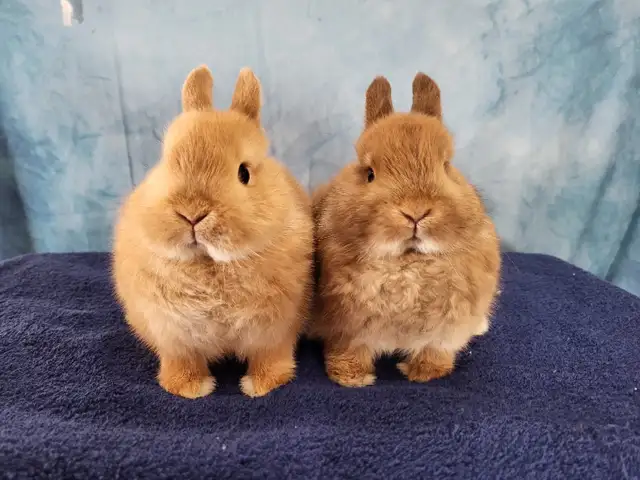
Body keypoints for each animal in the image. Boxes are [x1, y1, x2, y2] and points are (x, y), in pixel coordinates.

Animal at [112, 65, 313, 398]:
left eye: (244, 173)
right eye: (167, 163)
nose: (192, 213)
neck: (209, 263)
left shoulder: (275, 330)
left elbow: (270, 356)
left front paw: (262, 385)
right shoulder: (173, 335)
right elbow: (183, 361)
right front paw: (190, 388)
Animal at [309, 73, 501, 387]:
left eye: (446, 166)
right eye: (370, 173)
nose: (415, 211)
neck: (409, 262)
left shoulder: (446, 330)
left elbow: (435, 351)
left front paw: (424, 374)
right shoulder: (346, 328)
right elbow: (348, 350)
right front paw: (352, 378)